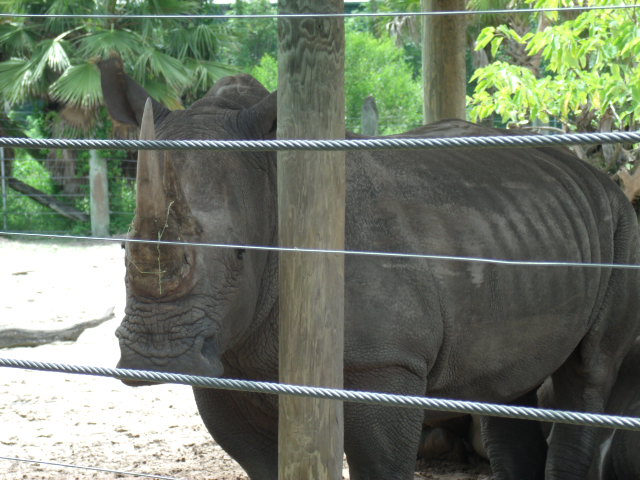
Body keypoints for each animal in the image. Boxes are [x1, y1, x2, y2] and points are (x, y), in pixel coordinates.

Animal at [99, 56, 640, 480]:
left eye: (239, 254)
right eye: (123, 246)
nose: (156, 359)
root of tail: (597, 177)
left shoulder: (382, 362)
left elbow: (379, 464)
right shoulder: (229, 364)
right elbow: (261, 463)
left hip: (622, 228)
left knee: (587, 372)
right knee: (510, 382)